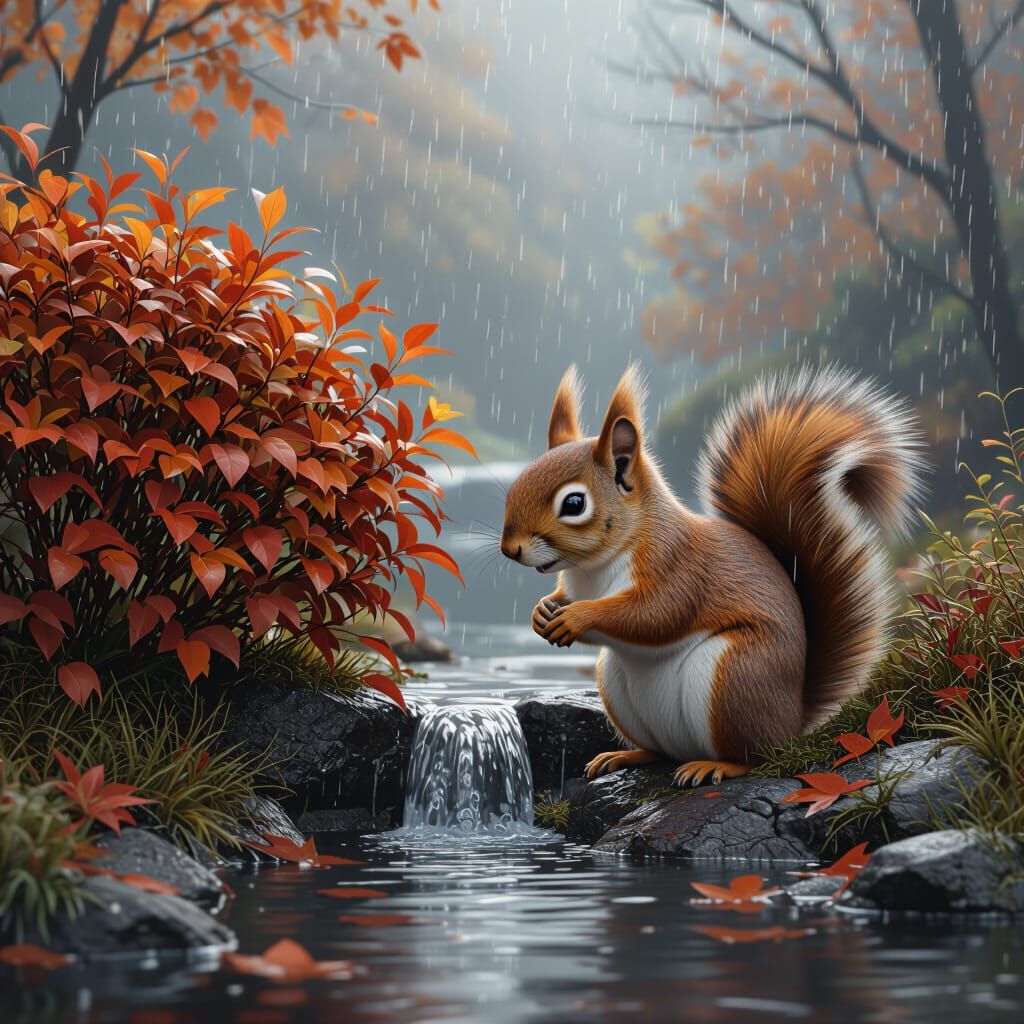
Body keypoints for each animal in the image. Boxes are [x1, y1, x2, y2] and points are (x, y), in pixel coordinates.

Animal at [500, 364, 925, 787]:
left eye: (574, 503)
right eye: (516, 485)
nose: (510, 549)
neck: (592, 569)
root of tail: (792, 722)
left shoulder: (676, 567)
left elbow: (655, 615)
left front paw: (577, 617)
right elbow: (569, 599)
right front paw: (543, 610)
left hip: (736, 677)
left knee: (755, 756)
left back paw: (717, 766)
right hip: (619, 686)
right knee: (659, 751)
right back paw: (625, 755)